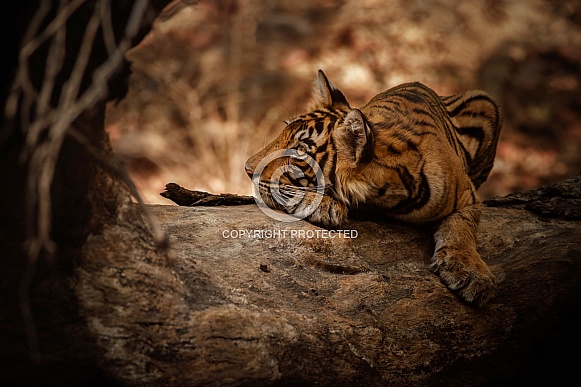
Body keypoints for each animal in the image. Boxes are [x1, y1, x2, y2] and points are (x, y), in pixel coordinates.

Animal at [242, 69, 500, 306]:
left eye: (301, 150)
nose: (247, 169)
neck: (381, 197)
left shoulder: (468, 196)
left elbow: (461, 228)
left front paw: (473, 274)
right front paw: (323, 207)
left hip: (486, 102)